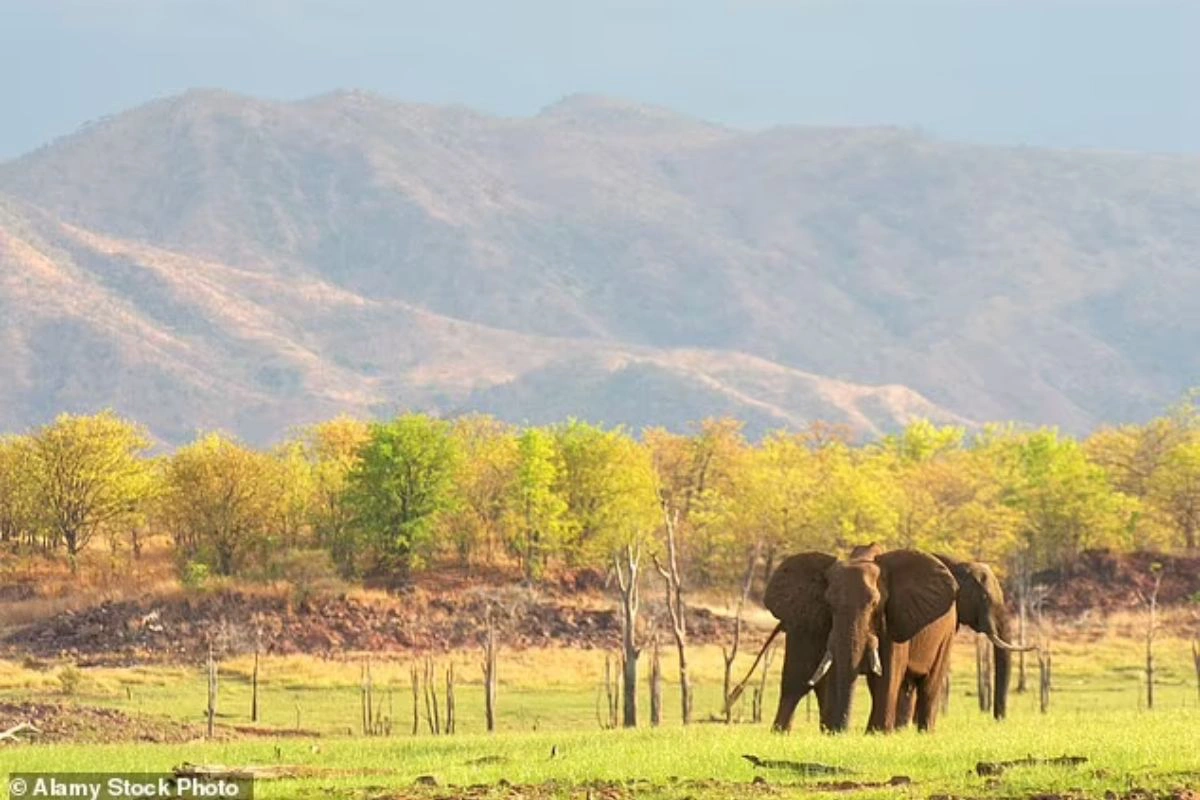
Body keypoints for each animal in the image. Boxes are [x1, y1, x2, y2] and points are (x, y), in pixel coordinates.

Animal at [763, 544, 960, 734]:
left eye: (874, 604)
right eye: (829, 604)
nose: (841, 730)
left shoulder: (892, 618)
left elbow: (888, 674)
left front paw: (877, 735)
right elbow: (836, 669)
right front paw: (838, 733)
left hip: (947, 635)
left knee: (929, 686)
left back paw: (924, 733)